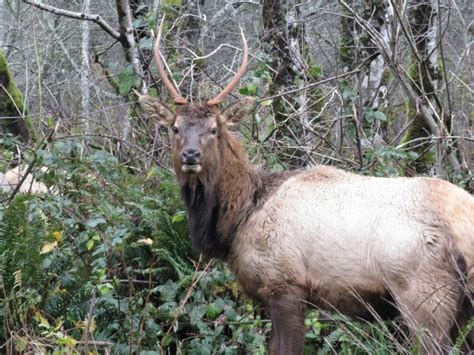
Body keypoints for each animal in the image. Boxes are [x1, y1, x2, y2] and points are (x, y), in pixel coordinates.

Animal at [135, 20, 472, 355]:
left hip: (424, 294)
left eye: (214, 129)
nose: (191, 155)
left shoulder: (284, 284)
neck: (240, 217)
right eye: (175, 128)